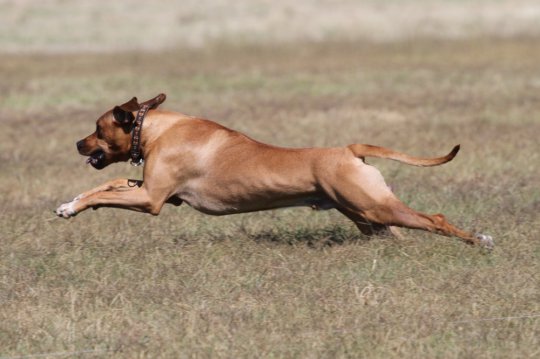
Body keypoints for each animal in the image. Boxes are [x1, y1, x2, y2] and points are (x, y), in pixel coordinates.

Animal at [56, 94, 494, 249]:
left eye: (97, 129)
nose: (77, 144)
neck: (155, 128)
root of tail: (348, 149)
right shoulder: (153, 188)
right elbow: (108, 183)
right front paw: (71, 201)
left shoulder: (151, 198)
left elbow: (105, 192)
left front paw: (73, 206)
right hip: (364, 213)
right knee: (394, 233)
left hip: (373, 206)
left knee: (434, 219)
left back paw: (478, 240)